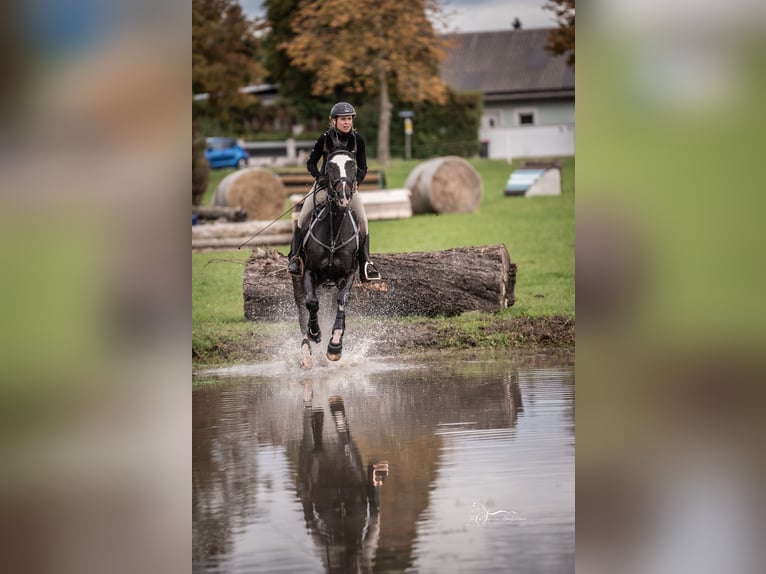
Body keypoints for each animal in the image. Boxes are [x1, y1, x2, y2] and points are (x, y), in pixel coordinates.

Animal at [296, 150, 364, 368]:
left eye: (352, 165)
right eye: (330, 167)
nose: (344, 196)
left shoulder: (348, 274)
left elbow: (342, 301)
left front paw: (335, 346)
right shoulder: (309, 272)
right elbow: (311, 303)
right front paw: (315, 332)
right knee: (302, 313)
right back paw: (306, 354)